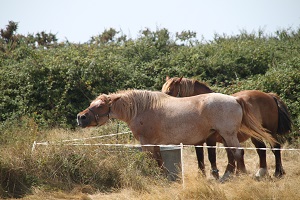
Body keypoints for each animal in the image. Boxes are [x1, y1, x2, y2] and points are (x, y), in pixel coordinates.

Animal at [77, 89, 274, 180]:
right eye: (92, 104)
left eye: (99, 106)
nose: (81, 117)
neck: (142, 109)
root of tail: (235, 99)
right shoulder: (154, 143)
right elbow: (159, 161)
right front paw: (164, 177)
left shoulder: (146, 143)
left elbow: (151, 160)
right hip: (225, 136)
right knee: (233, 154)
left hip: (229, 134)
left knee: (237, 153)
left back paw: (240, 175)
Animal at [161, 76, 292, 180]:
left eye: (169, 92)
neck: (200, 107)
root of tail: (269, 96)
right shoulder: (199, 142)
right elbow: (200, 158)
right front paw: (202, 176)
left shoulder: (211, 140)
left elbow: (211, 156)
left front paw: (215, 175)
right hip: (255, 135)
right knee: (261, 150)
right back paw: (261, 173)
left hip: (269, 132)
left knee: (275, 147)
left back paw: (278, 172)